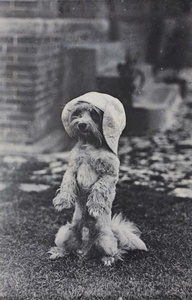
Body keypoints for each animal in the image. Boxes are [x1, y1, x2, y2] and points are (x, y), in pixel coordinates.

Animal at [48, 92, 147, 266]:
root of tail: (86, 247)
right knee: (68, 248)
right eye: (78, 113)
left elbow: (98, 187)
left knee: (116, 251)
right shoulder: (72, 168)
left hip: (106, 241)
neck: (90, 144)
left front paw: (94, 206)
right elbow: (67, 182)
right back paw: (58, 252)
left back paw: (108, 259)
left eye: (94, 114)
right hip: (65, 233)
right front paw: (62, 201)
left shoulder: (109, 175)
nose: (82, 125)